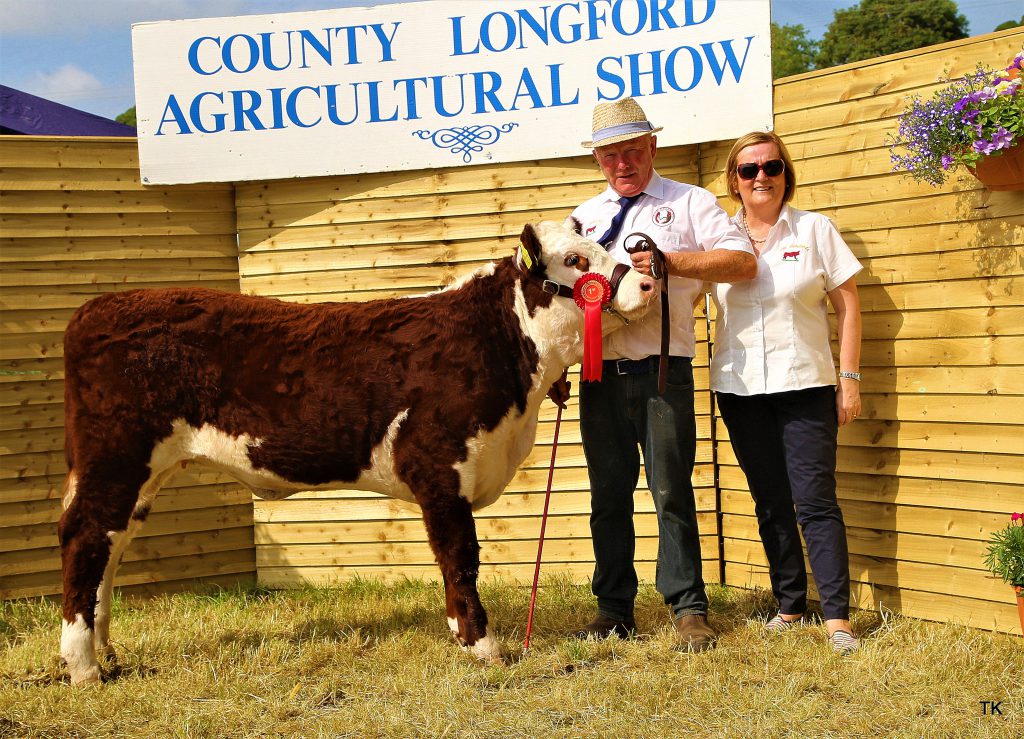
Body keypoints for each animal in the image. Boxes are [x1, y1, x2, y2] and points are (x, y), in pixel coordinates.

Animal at [58, 217, 656, 684]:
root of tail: (96, 308)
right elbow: (460, 557)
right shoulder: (438, 466)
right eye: (576, 260)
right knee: (85, 538)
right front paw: (482, 646)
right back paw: (83, 666)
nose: (649, 281)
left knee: (110, 545)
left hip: (140, 471)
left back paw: (108, 653)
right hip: (116, 455)